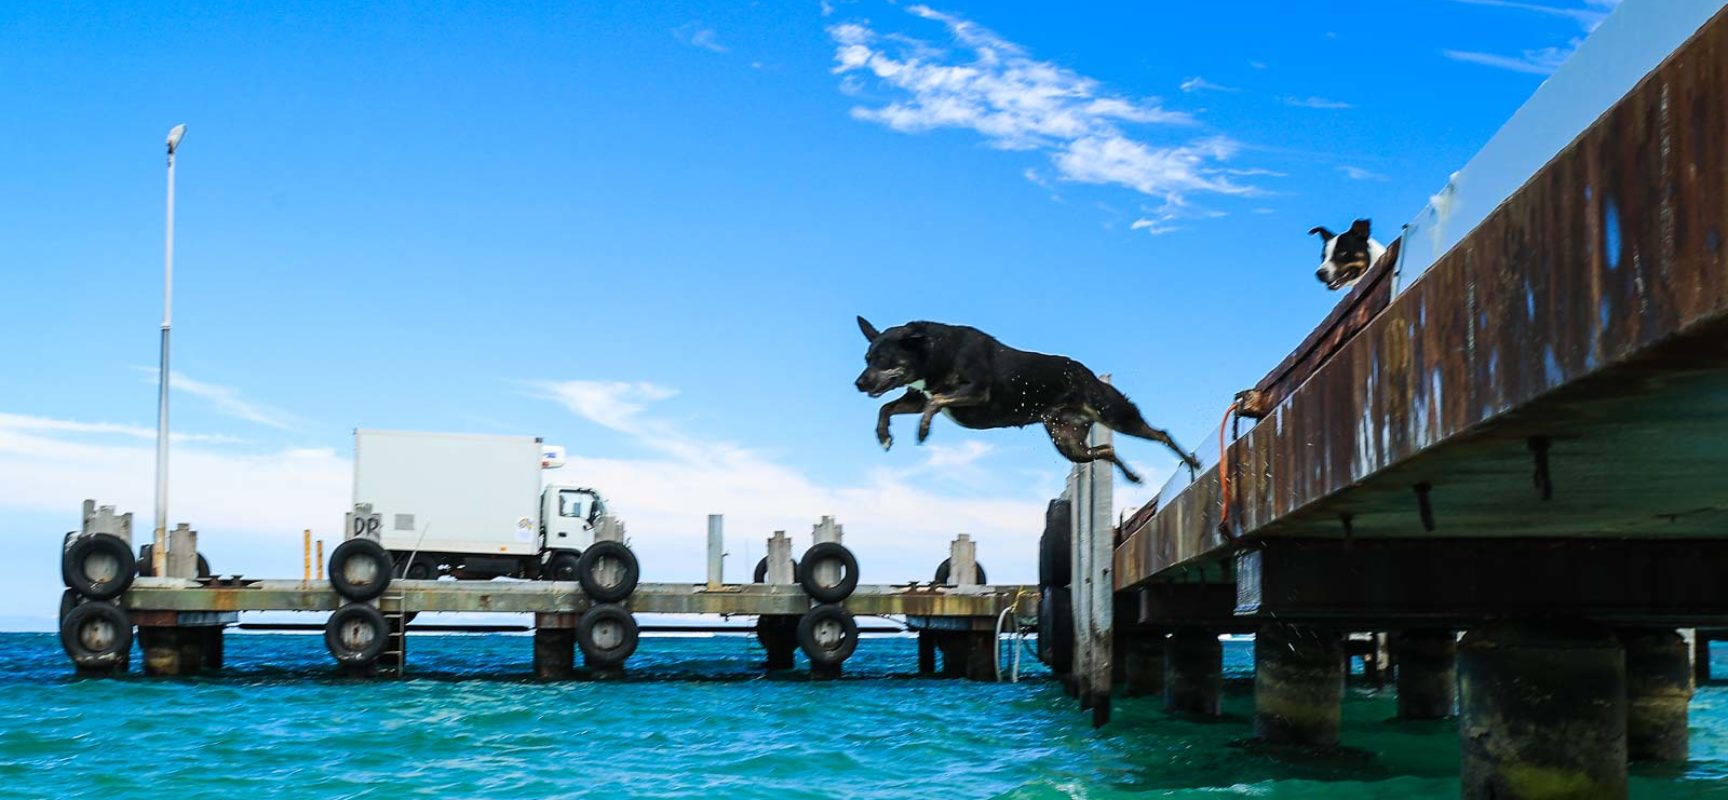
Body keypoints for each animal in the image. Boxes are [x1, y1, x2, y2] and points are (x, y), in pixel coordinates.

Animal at [853, 317, 1202, 483]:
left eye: (882, 359)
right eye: (867, 358)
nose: (858, 383)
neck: (935, 352)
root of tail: (1089, 375)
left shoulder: (975, 392)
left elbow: (934, 402)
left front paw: (923, 430)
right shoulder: (916, 397)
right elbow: (888, 407)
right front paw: (884, 436)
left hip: (1114, 414)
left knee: (1160, 434)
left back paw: (1191, 462)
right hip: (1068, 444)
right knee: (1105, 449)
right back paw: (1132, 476)